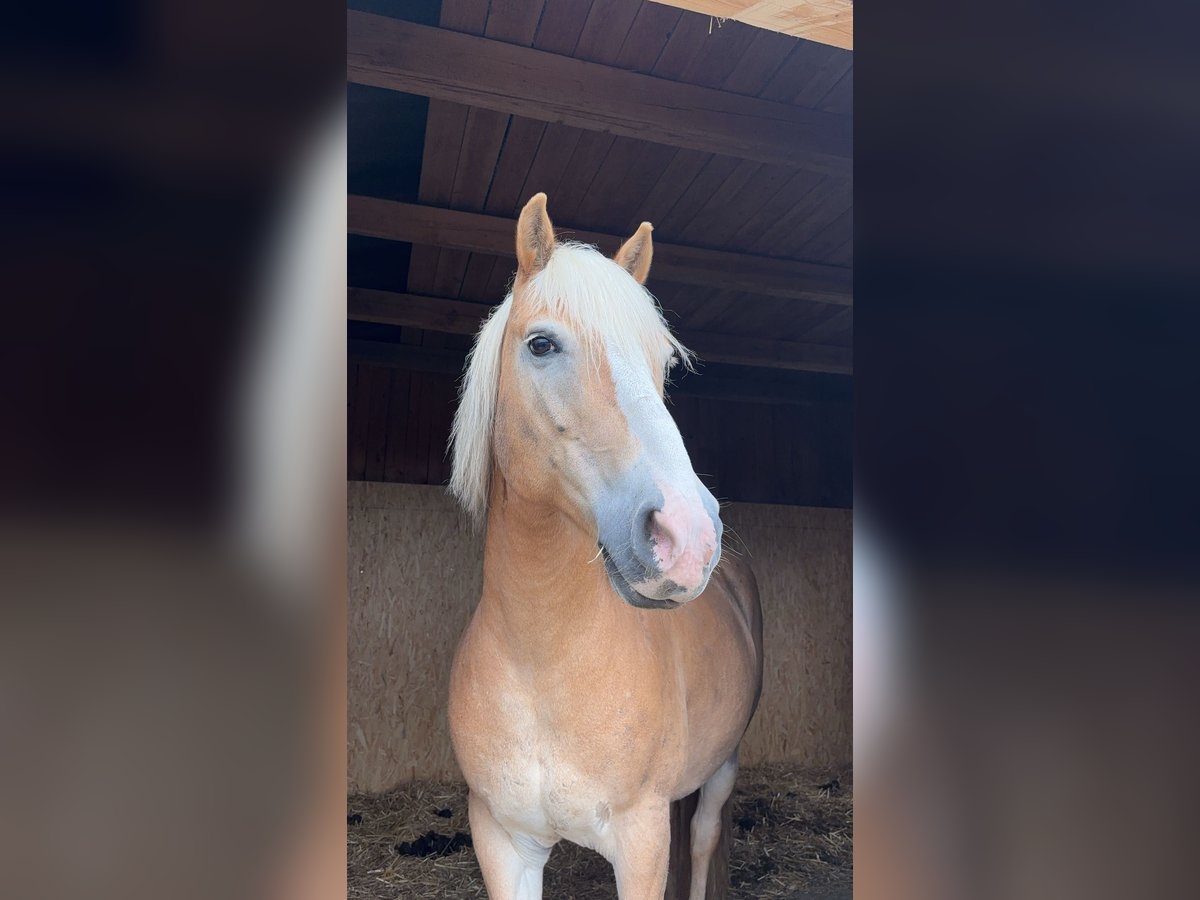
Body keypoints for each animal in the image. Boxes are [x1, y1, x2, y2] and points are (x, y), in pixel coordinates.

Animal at [446, 192, 763, 900]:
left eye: (664, 362)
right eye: (541, 344)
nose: (687, 536)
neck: (541, 665)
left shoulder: (640, 841)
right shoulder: (502, 841)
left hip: (723, 765)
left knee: (702, 839)